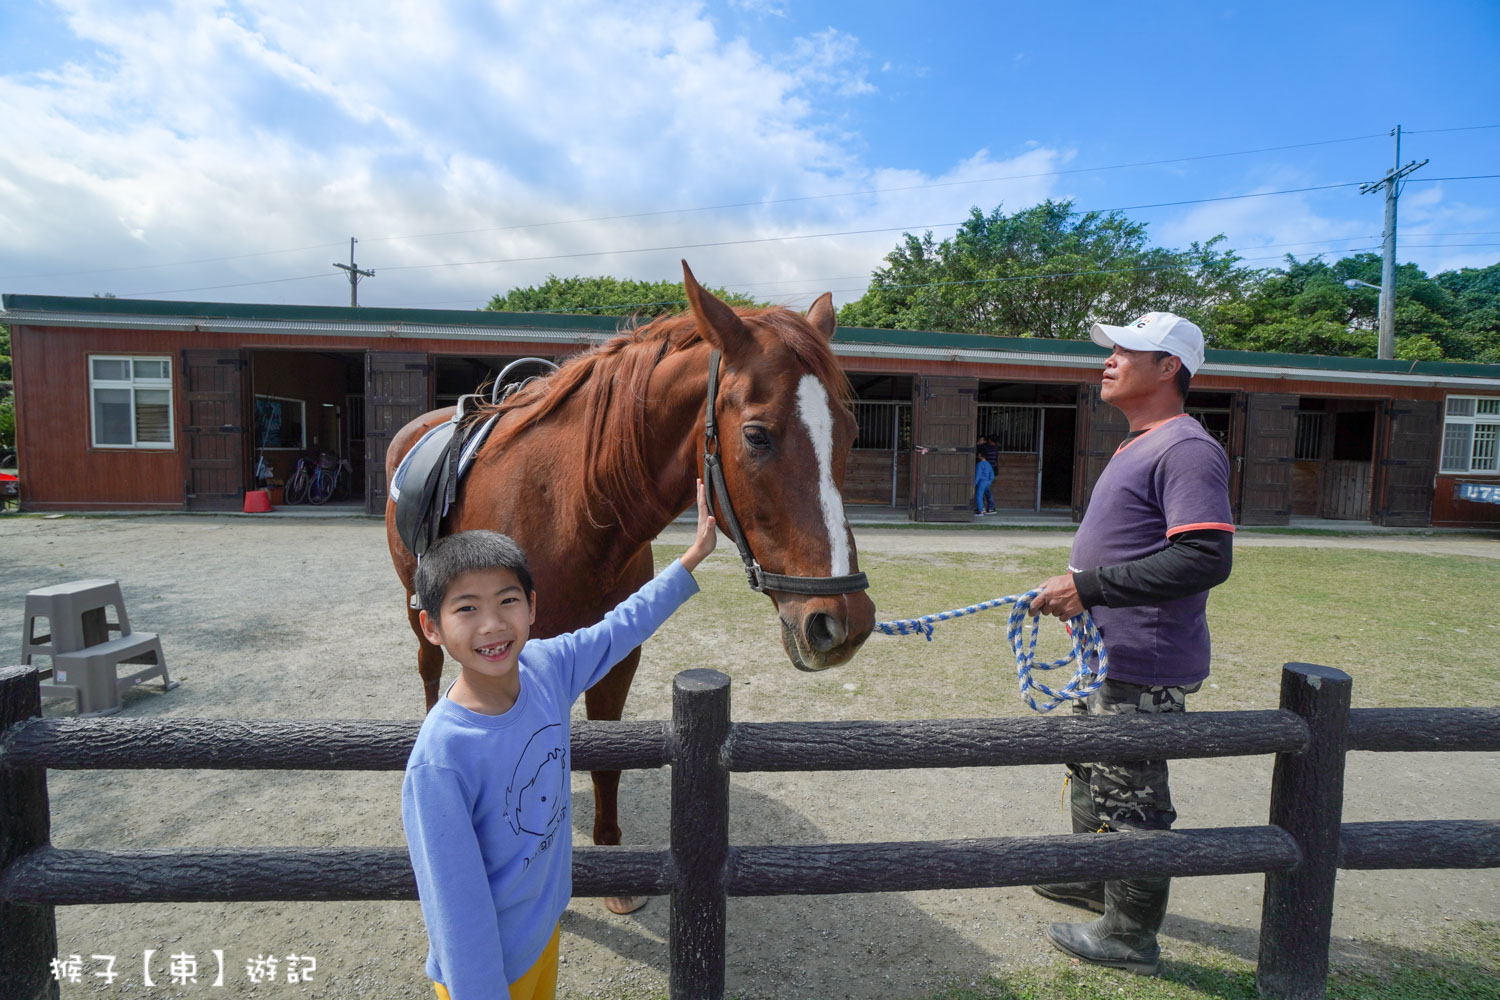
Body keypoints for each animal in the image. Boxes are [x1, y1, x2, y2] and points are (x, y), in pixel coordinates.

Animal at [387, 263, 876, 917]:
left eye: (849, 431)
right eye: (757, 436)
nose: (843, 620)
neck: (570, 508)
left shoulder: (616, 652)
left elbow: (606, 759)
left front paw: (614, 872)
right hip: (419, 610)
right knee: (428, 671)